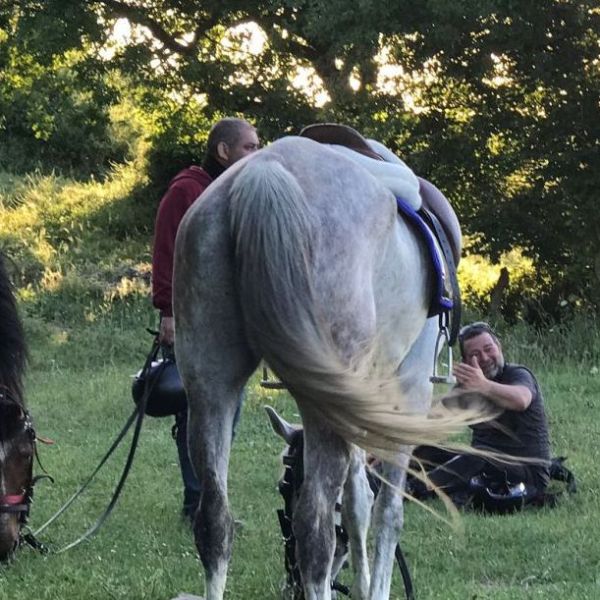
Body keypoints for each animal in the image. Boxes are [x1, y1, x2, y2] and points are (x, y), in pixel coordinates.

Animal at [171, 137, 480, 600]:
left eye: (283, 482)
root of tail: (265, 174)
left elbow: (356, 503)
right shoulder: (408, 387)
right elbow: (385, 510)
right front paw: (375, 587)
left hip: (209, 384)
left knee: (215, 521)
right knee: (315, 528)